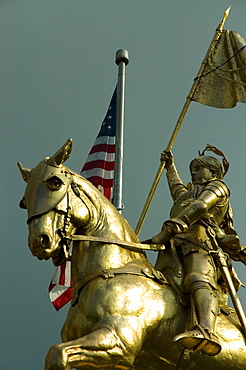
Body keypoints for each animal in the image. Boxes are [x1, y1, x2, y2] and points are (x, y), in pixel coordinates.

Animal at [18, 139, 246, 370]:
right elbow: (179, 190)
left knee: (199, 281)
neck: (112, 268)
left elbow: (57, 353)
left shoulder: (119, 341)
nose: (40, 241)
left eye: (54, 183)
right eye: (24, 201)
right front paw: (168, 161)